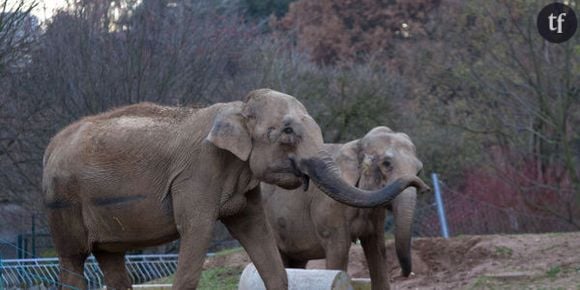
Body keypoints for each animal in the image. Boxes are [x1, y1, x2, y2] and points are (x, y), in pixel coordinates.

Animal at [262, 127, 422, 290]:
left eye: (419, 171)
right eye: (386, 164)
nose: (403, 273)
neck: (357, 144)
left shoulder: (376, 215)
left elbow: (377, 249)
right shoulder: (331, 207)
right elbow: (339, 249)